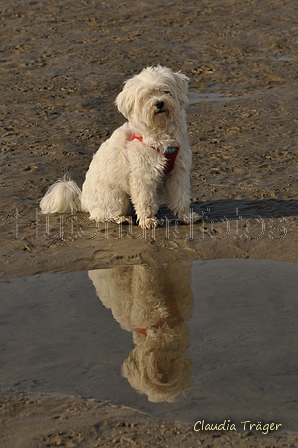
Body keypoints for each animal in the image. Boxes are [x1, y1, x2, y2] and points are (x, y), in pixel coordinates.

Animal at [39, 65, 192, 228]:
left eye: (166, 91)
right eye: (144, 97)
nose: (159, 103)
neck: (161, 136)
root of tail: (83, 201)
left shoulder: (178, 171)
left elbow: (181, 197)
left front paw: (187, 217)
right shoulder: (143, 177)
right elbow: (145, 201)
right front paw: (148, 220)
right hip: (116, 196)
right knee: (103, 215)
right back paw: (121, 218)